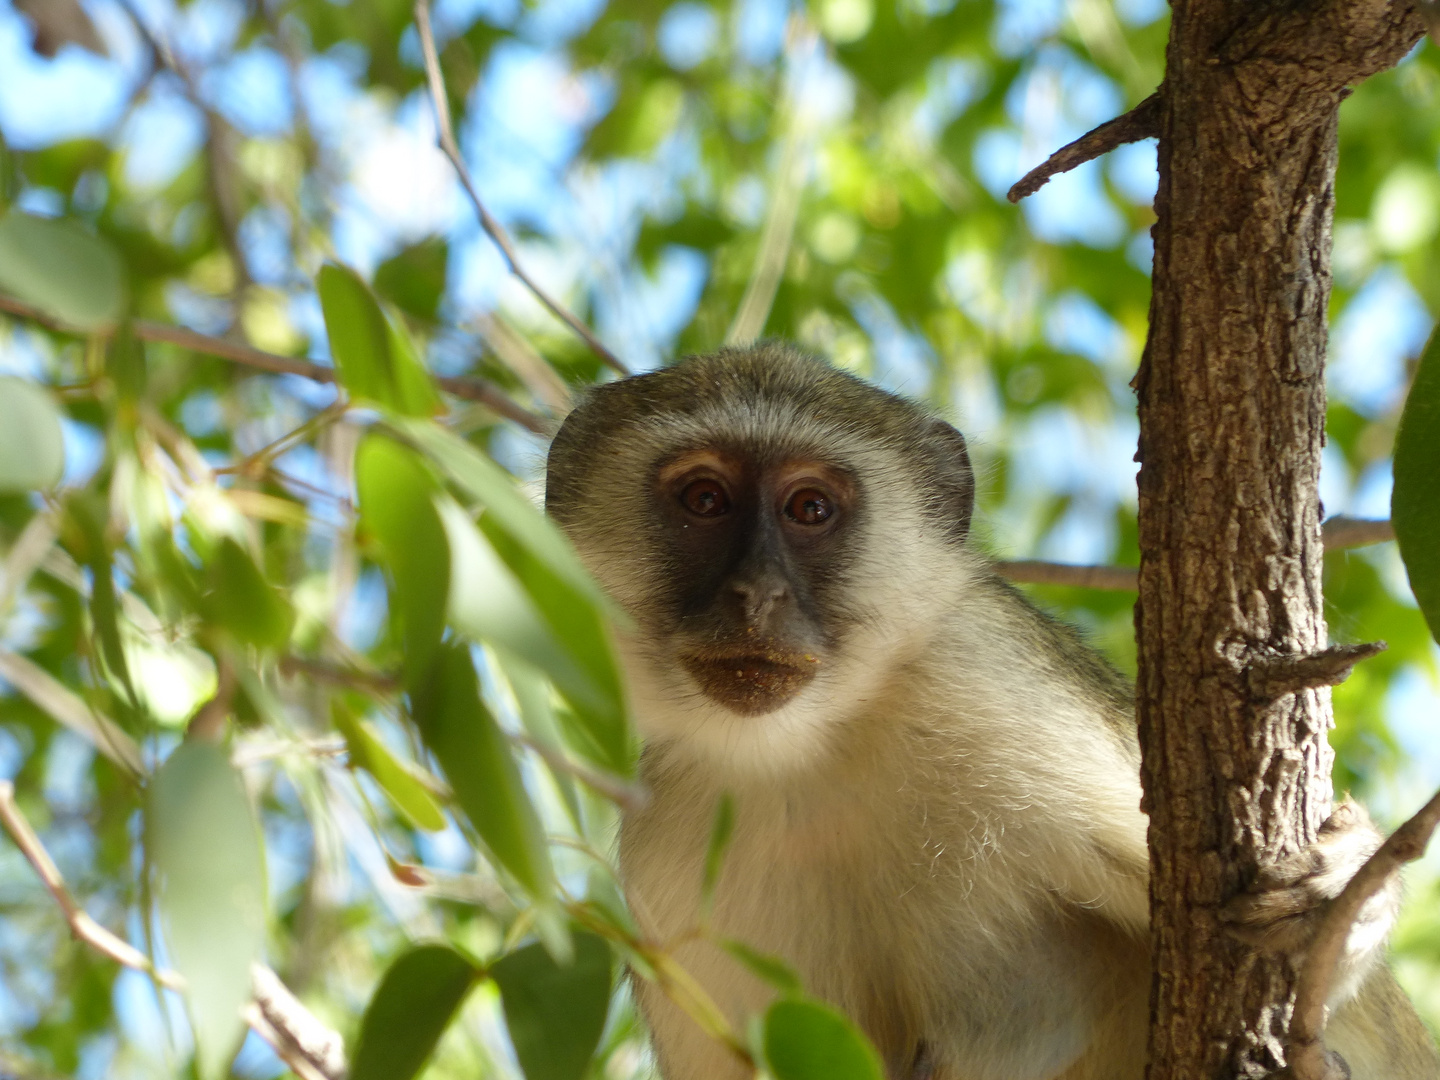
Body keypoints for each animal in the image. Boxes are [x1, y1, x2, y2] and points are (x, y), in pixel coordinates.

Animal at [541, 347, 1440, 1080]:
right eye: (704, 499)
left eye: (809, 510)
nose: (755, 595)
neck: (819, 748)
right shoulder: (667, 851)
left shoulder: (996, 694)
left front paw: (1344, 889)